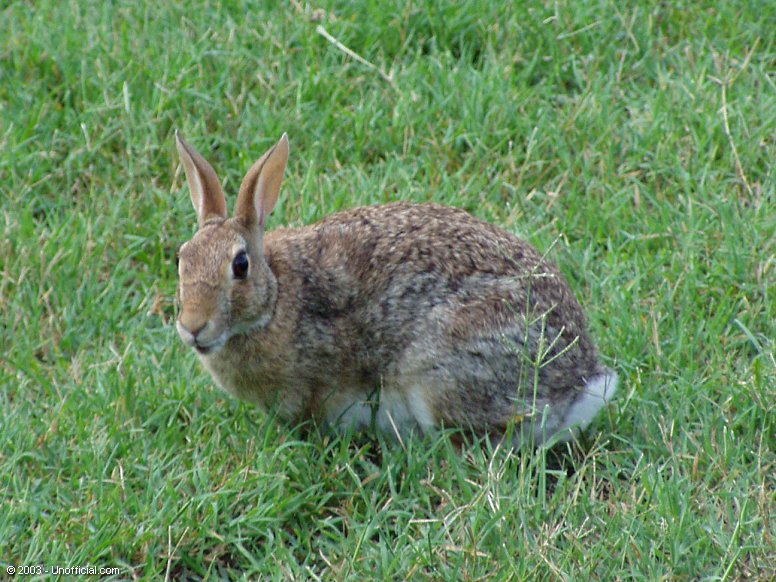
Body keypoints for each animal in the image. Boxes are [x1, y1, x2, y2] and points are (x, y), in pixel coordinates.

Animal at [173, 132, 616, 450]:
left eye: (240, 266)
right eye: (181, 258)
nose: (192, 327)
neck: (278, 296)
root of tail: (578, 386)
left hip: (442, 377)